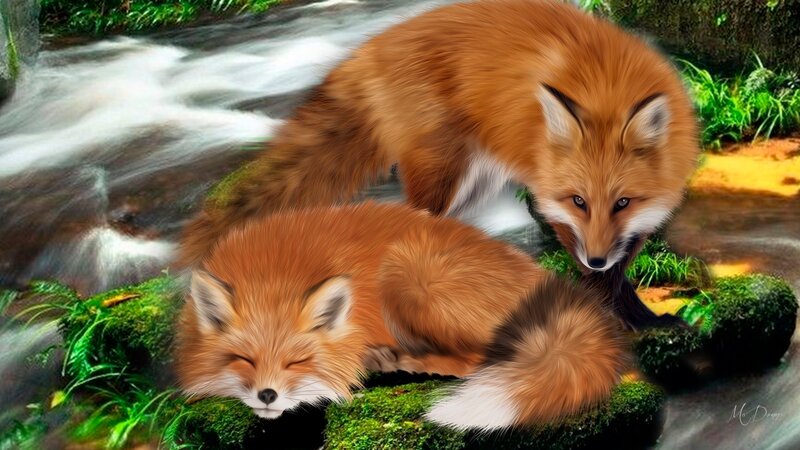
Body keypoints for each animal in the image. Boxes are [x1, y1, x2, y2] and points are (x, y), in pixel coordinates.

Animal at [175, 201, 630, 430]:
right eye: (244, 359)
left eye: (297, 362)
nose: (267, 395)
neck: (273, 273)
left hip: (408, 277)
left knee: (477, 361)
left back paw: (403, 361)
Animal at [176, 0, 700, 329]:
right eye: (579, 200)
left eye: (623, 202)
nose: (593, 257)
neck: (606, 84)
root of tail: (375, 42)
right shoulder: (555, 203)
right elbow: (599, 274)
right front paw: (612, 314)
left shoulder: (631, 224)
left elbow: (619, 271)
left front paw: (642, 320)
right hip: (443, 175)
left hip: (473, 184)